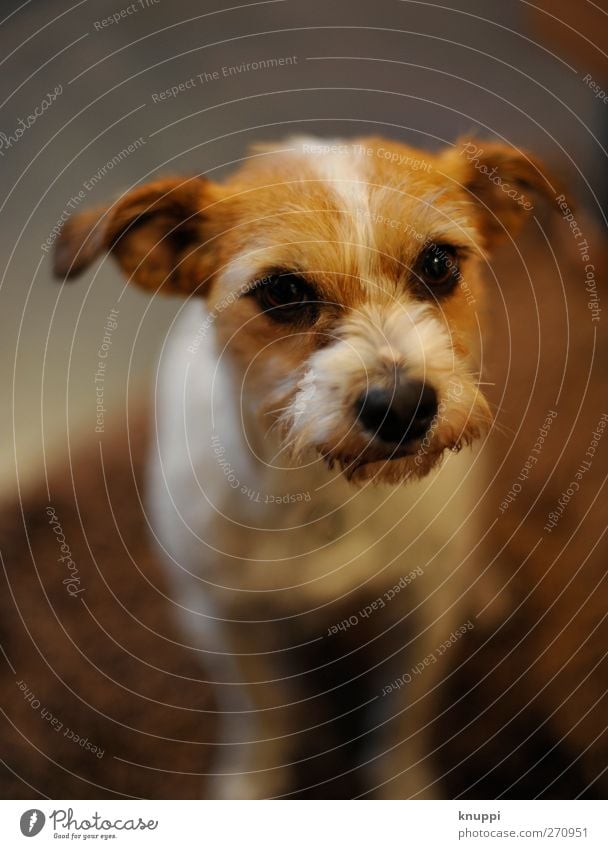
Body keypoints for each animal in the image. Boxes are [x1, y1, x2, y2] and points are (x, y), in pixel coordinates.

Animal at [54, 136, 564, 800]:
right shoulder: (225, 622)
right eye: (282, 292)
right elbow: (263, 715)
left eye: (437, 264)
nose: (402, 407)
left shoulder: (420, 615)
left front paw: (401, 789)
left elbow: (399, 721)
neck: (322, 493)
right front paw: (251, 785)